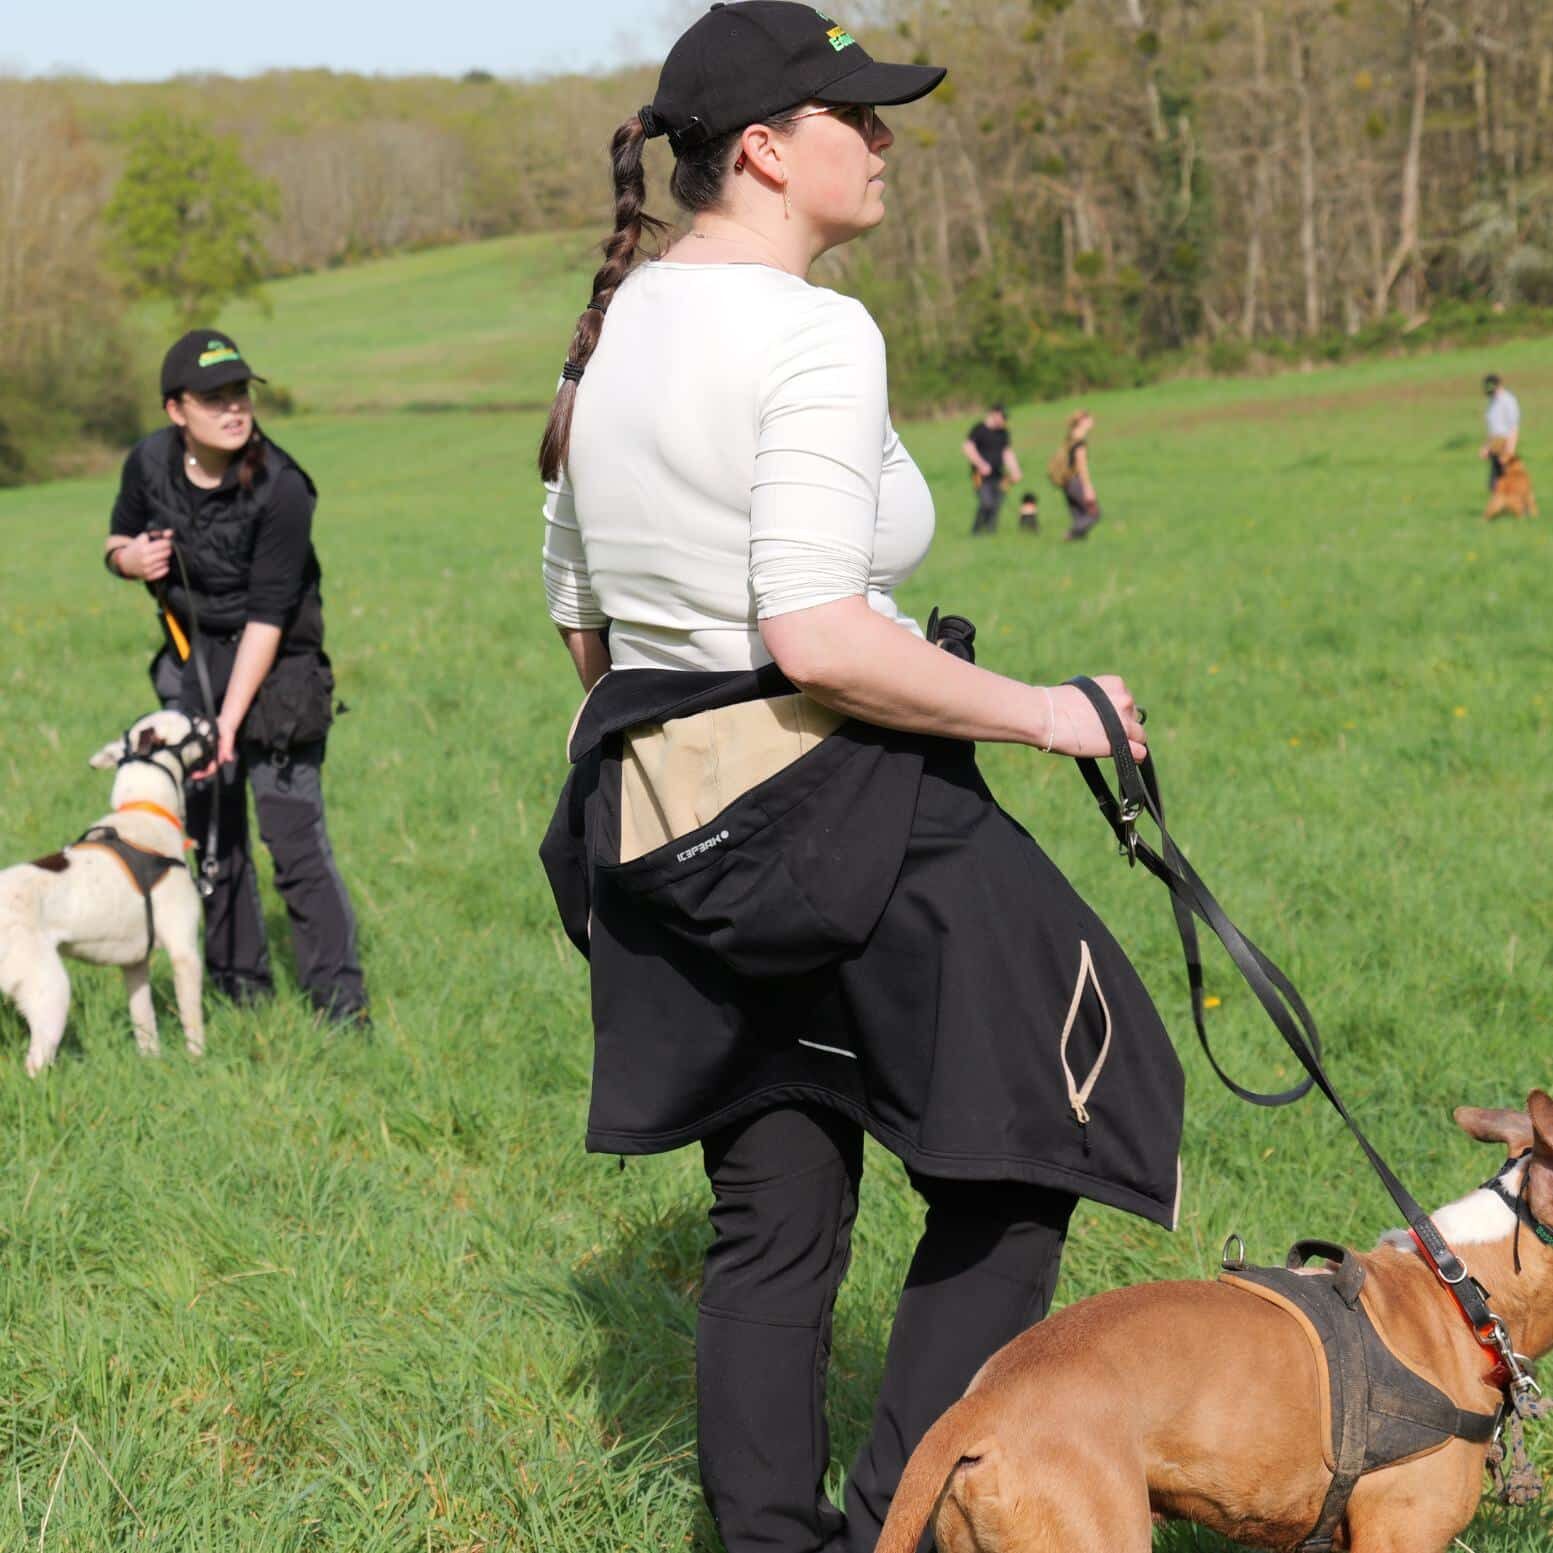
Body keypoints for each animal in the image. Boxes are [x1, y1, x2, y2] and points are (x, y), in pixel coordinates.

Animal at [0, 711, 212, 1074]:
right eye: (190, 721)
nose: (211, 719)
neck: (144, 809)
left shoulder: (135, 965)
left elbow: (145, 1025)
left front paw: (153, 1067)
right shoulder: (184, 952)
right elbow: (192, 1022)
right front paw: (198, 1062)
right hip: (50, 992)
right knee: (36, 1064)